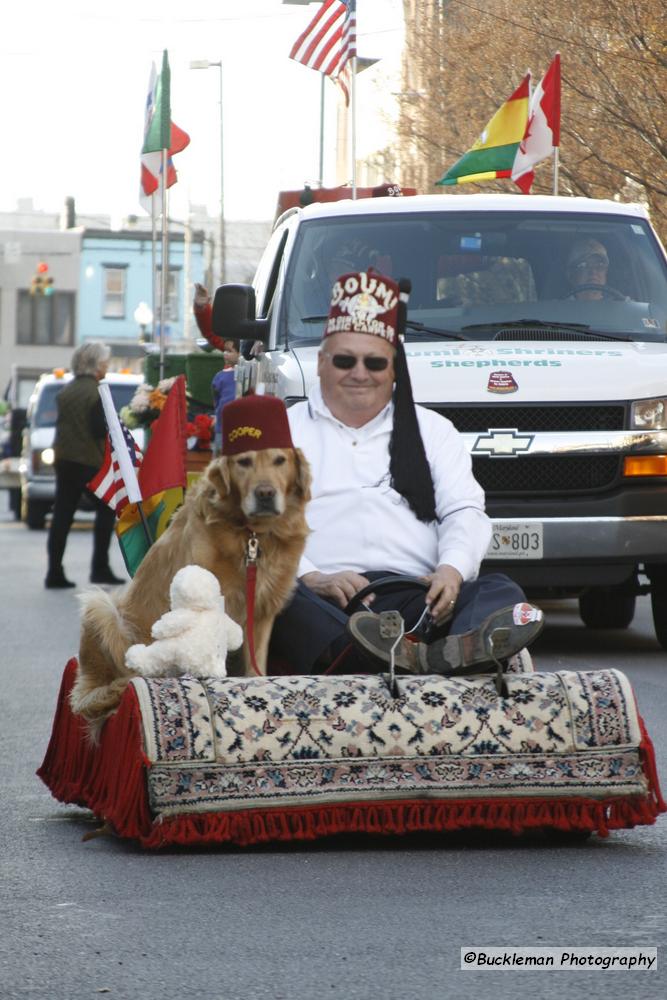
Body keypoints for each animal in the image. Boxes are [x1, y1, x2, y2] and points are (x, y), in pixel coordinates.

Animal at [72, 446, 312, 736]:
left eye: (280, 460)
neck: (252, 536)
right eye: (244, 461)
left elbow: (256, 666)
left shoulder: (263, 612)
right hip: (103, 608)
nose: (265, 494)